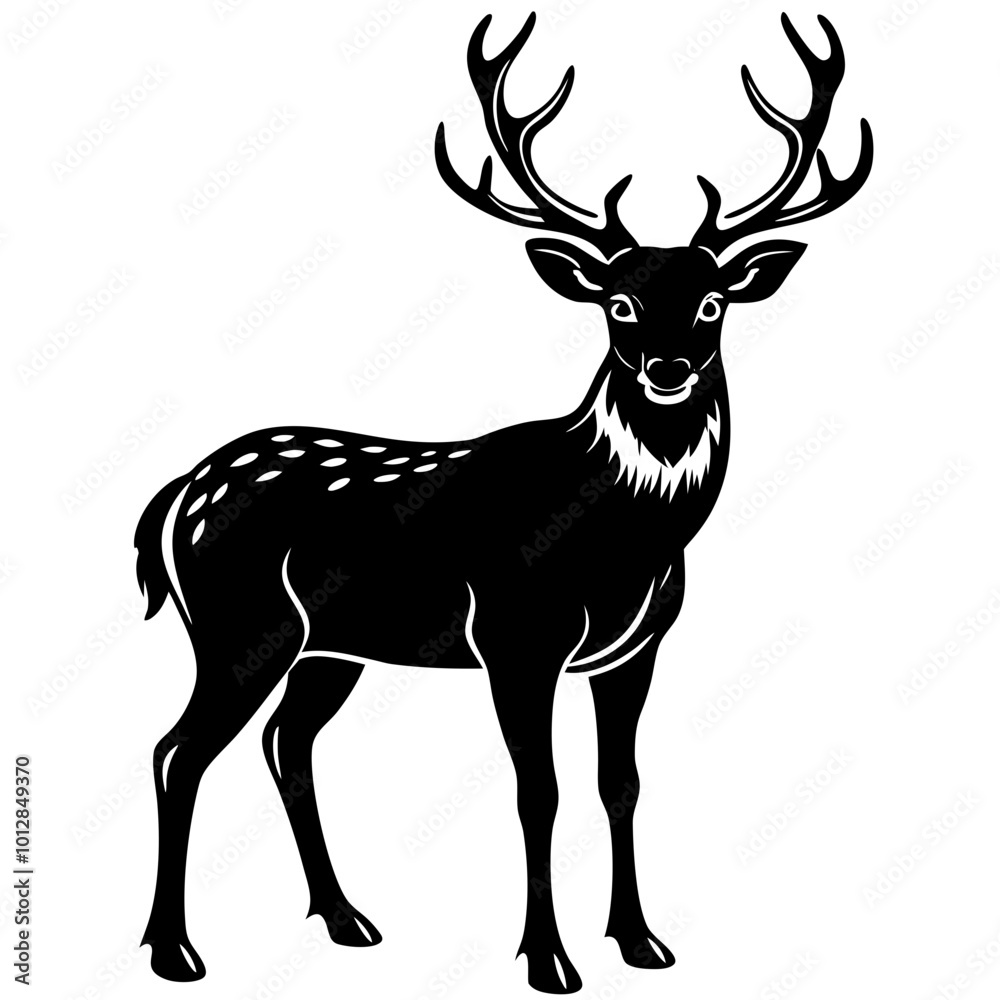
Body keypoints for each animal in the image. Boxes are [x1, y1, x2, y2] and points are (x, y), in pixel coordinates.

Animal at [135, 11, 872, 994]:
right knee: (177, 751)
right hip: (236, 626)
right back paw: (175, 950)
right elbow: (538, 791)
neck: (620, 536)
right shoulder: (517, 636)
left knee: (287, 743)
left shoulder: (636, 648)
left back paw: (347, 920)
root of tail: (177, 495)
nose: (669, 368)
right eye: (620, 304)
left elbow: (619, 783)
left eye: (713, 301)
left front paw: (642, 941)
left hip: (329, 647)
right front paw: (549, 960)